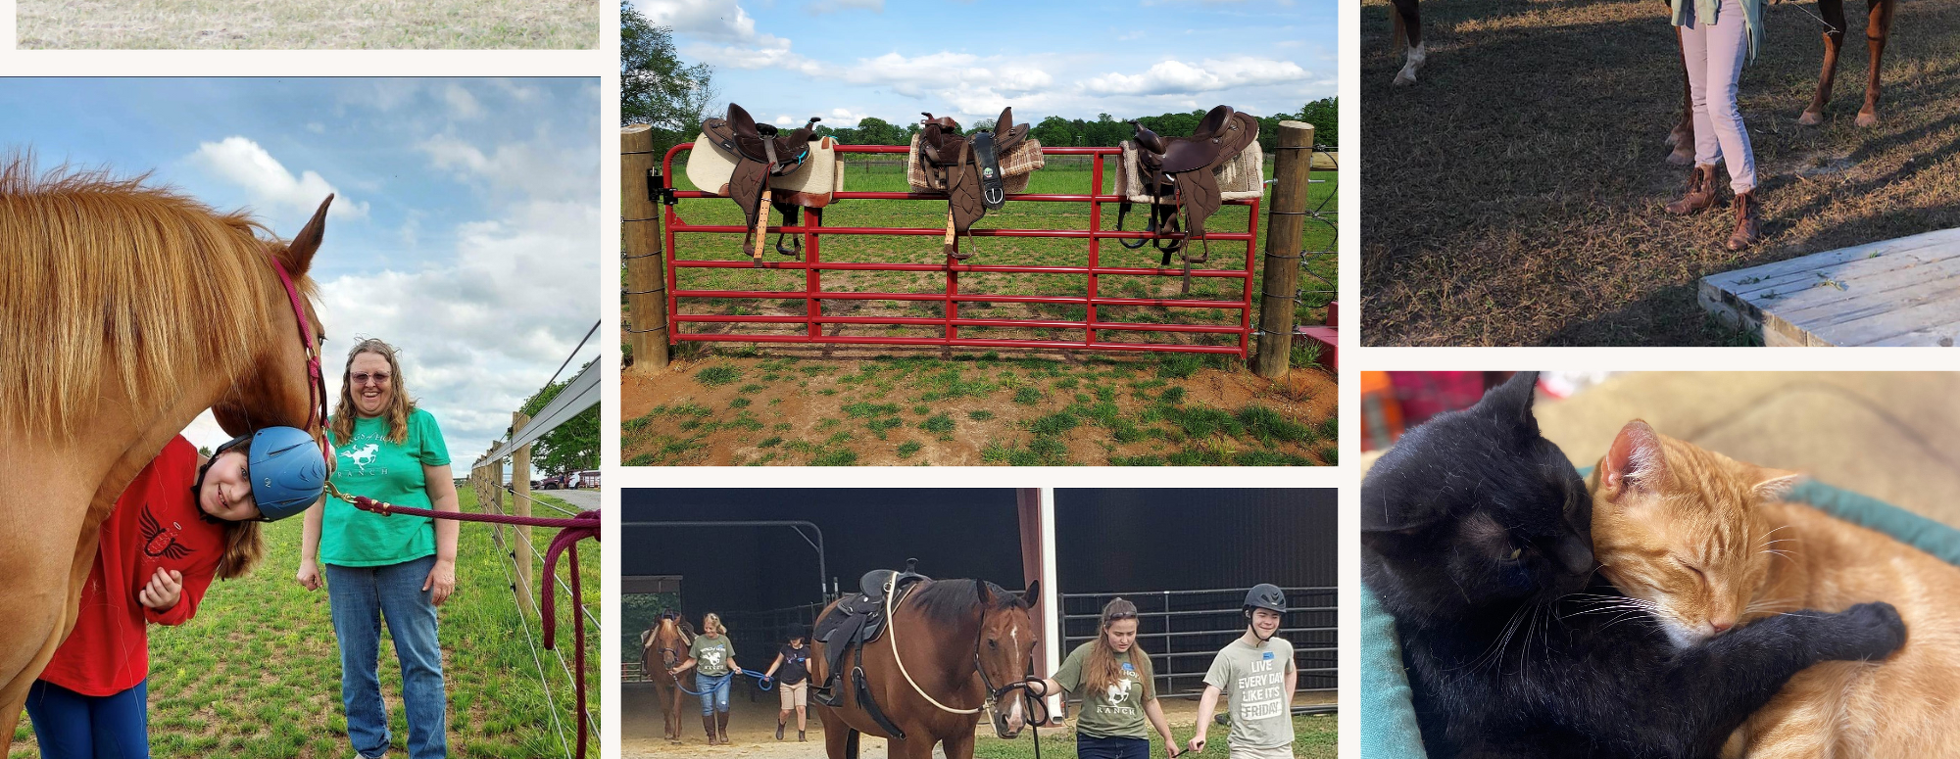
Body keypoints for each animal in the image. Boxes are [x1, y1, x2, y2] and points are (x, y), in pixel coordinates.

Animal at [635, 611, 697, 741]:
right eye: (660, 639)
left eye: (677, 639)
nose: (669, 663)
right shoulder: (659, 683)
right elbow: (665, 707)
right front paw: (668, 732)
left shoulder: (681, 680)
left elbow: (677, 707)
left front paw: (676, 733)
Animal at [815, 580, 1050, 759]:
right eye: (991, 642)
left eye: (1033, 642)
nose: (1014, 719)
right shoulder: (920, 738)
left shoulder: (962, 739)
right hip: (835, 728)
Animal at [1364, 372, 1897, 759]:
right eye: (1513, 551)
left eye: (1565, 501)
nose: (1584, 559)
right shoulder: (1665, 714)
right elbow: (1776, 636)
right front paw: (1869, 624)